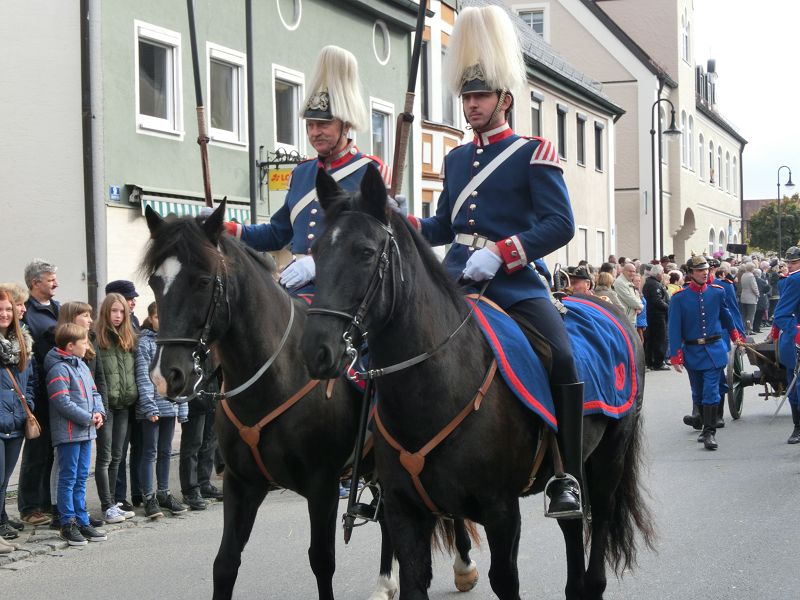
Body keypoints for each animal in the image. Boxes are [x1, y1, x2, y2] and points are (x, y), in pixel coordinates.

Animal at [140, 205, 479, 600]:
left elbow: (321, 560)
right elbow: (224, 564)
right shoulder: (241, 483)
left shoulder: (323, 485)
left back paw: (463, 566)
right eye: (155, 282)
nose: (165, 376)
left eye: (204, 280)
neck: (274, 375)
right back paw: (384, 582)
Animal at [300, 165, 656, 600]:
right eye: (316, 251)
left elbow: (505, 580)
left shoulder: (501, 511)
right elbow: (413, 579)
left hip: (609, 459)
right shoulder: (405, 512)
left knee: (600, 522)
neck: (435, 384)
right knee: (572, 527)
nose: (316, 350)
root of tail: (610, 309)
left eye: (365, 252)